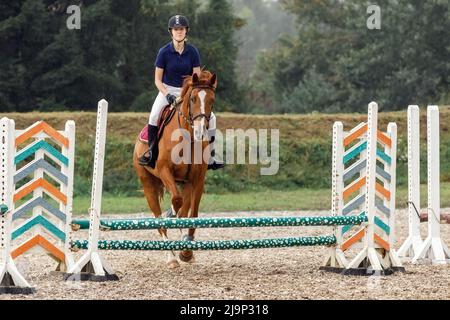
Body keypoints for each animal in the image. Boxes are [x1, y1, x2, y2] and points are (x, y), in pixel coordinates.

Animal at [133, 70, 217, 268]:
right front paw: (170, 213)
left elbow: (192, 214)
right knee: (159, 220)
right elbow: (176, 202)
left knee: (182, 212)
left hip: (184, 183)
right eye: (193, 99)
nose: (200, 132)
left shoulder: (197, 180)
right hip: (148, 185)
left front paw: (187, 252)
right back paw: (171, 257)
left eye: (212, 100)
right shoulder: (165, 171)